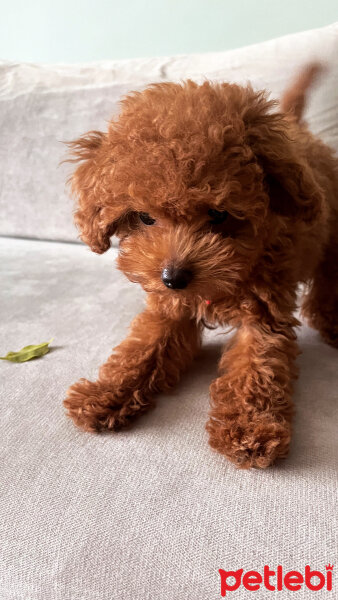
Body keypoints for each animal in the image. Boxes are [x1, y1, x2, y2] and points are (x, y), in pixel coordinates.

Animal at [63, 65, 338, 468]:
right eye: (144, 217)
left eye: (219, 214)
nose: (174, 278)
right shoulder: (168, 306)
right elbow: (143, 347)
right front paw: (105, 393)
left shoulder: (263, 314)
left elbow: (256, 366)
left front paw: (249, 429)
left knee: (328, 281)